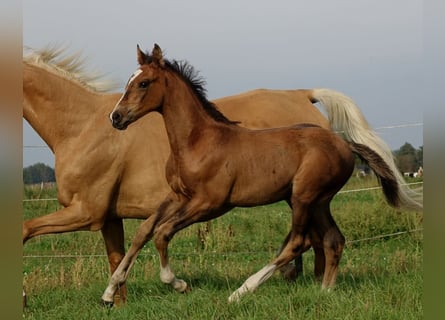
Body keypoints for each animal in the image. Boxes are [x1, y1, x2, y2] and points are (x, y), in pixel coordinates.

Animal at [102, 43, 422, 304]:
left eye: (143, 83)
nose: (116, 118)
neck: (197, 142)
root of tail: (344, 143)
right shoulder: (178, 196)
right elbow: (144, 231)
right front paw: (109, 291)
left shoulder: (209, 204)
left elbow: (162, 233)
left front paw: (177, 283)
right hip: (316, 201)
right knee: (333, 239)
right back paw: (325, 290)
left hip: (304, 197)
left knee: (298, 242)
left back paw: (241, 291)